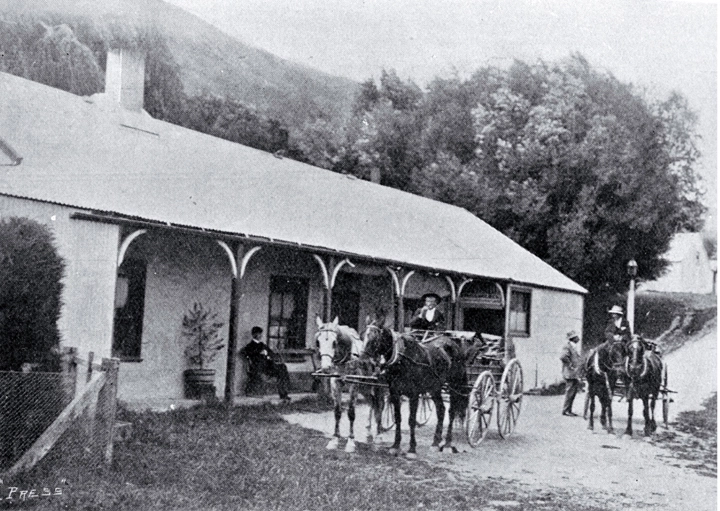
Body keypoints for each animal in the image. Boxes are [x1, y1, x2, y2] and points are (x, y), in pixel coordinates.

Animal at [362, 318, 470, 458]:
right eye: (363, 336)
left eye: (374, 339)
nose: (363, 360)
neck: (403, 358)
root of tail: (453, 343)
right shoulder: (394, 393)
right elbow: (398, 418)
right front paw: (395, 446)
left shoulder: (414, 395)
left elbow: (411, 421)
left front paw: (412, 449)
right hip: (434, 388)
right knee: (441, 409)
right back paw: (435, 443)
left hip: (454, 386)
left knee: (451, 412)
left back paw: (447, 444)